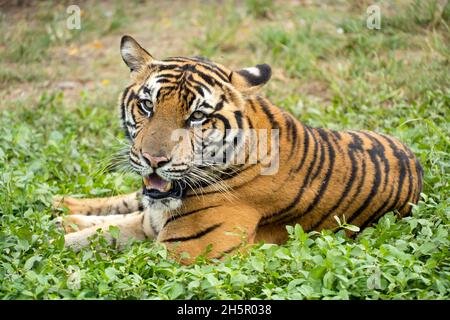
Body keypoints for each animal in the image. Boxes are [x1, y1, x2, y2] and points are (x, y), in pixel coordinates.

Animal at [54, 35, 424, 264]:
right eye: (147, 106)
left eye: (197, 116)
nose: (153, 160)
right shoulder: (155, 224)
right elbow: (101, 232)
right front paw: (53, 237)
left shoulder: (185, 251)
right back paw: (61, 207)